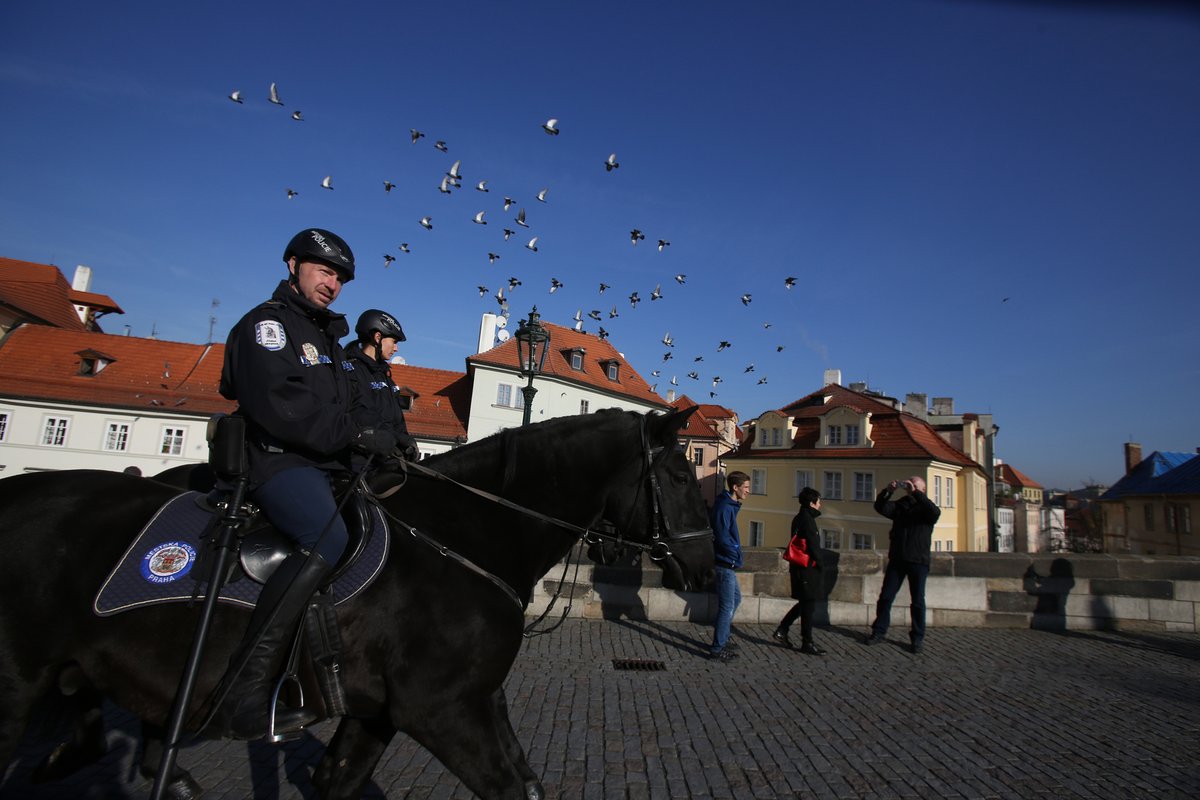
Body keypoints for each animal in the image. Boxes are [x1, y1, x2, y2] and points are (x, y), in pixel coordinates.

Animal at [0, 410, 710, 796]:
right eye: (679, 475)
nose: (707, 564)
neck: (463, 535)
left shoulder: (395, 710)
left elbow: (338, 779)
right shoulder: (442, 710)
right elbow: (509, 786)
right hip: (17, 683)